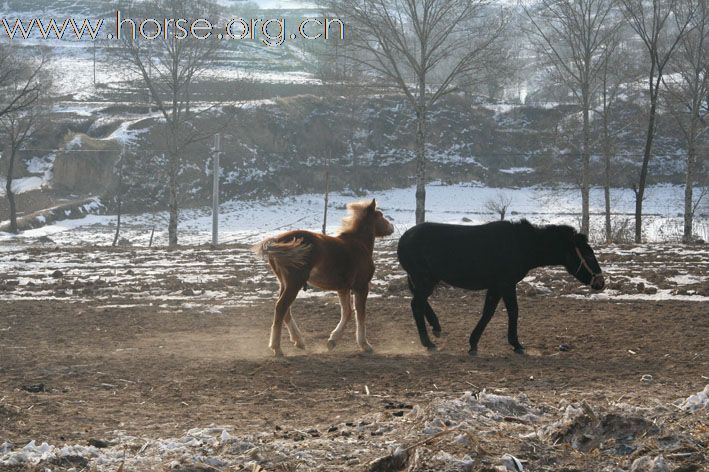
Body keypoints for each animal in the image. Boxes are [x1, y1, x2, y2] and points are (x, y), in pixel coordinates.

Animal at [253, 199, 392, 358]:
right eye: (380, 215)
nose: (392, 227)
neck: (359, 244)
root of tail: (276, 241)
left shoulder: (343, 288)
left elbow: (347, 312)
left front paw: (332, 341)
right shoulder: (361, 286)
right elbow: (360, 314)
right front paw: (365, 345)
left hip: (284, 283)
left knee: (285, 310)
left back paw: (299, 341)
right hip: (294, 283)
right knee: (281, 307)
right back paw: (277, 348)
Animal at [396, 220, 604, 354]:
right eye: (588, 255)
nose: (601, 283)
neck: (521, 245)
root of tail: (403, 238)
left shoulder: (496, 287)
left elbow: (488, 312)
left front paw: (473, 343)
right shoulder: (506, 284)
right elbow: (512, 310)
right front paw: (516, 344)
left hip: (424, 280)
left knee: (421, 304)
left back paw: (436, 328)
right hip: (424, 280)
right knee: (416, 305)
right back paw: (428, 343)